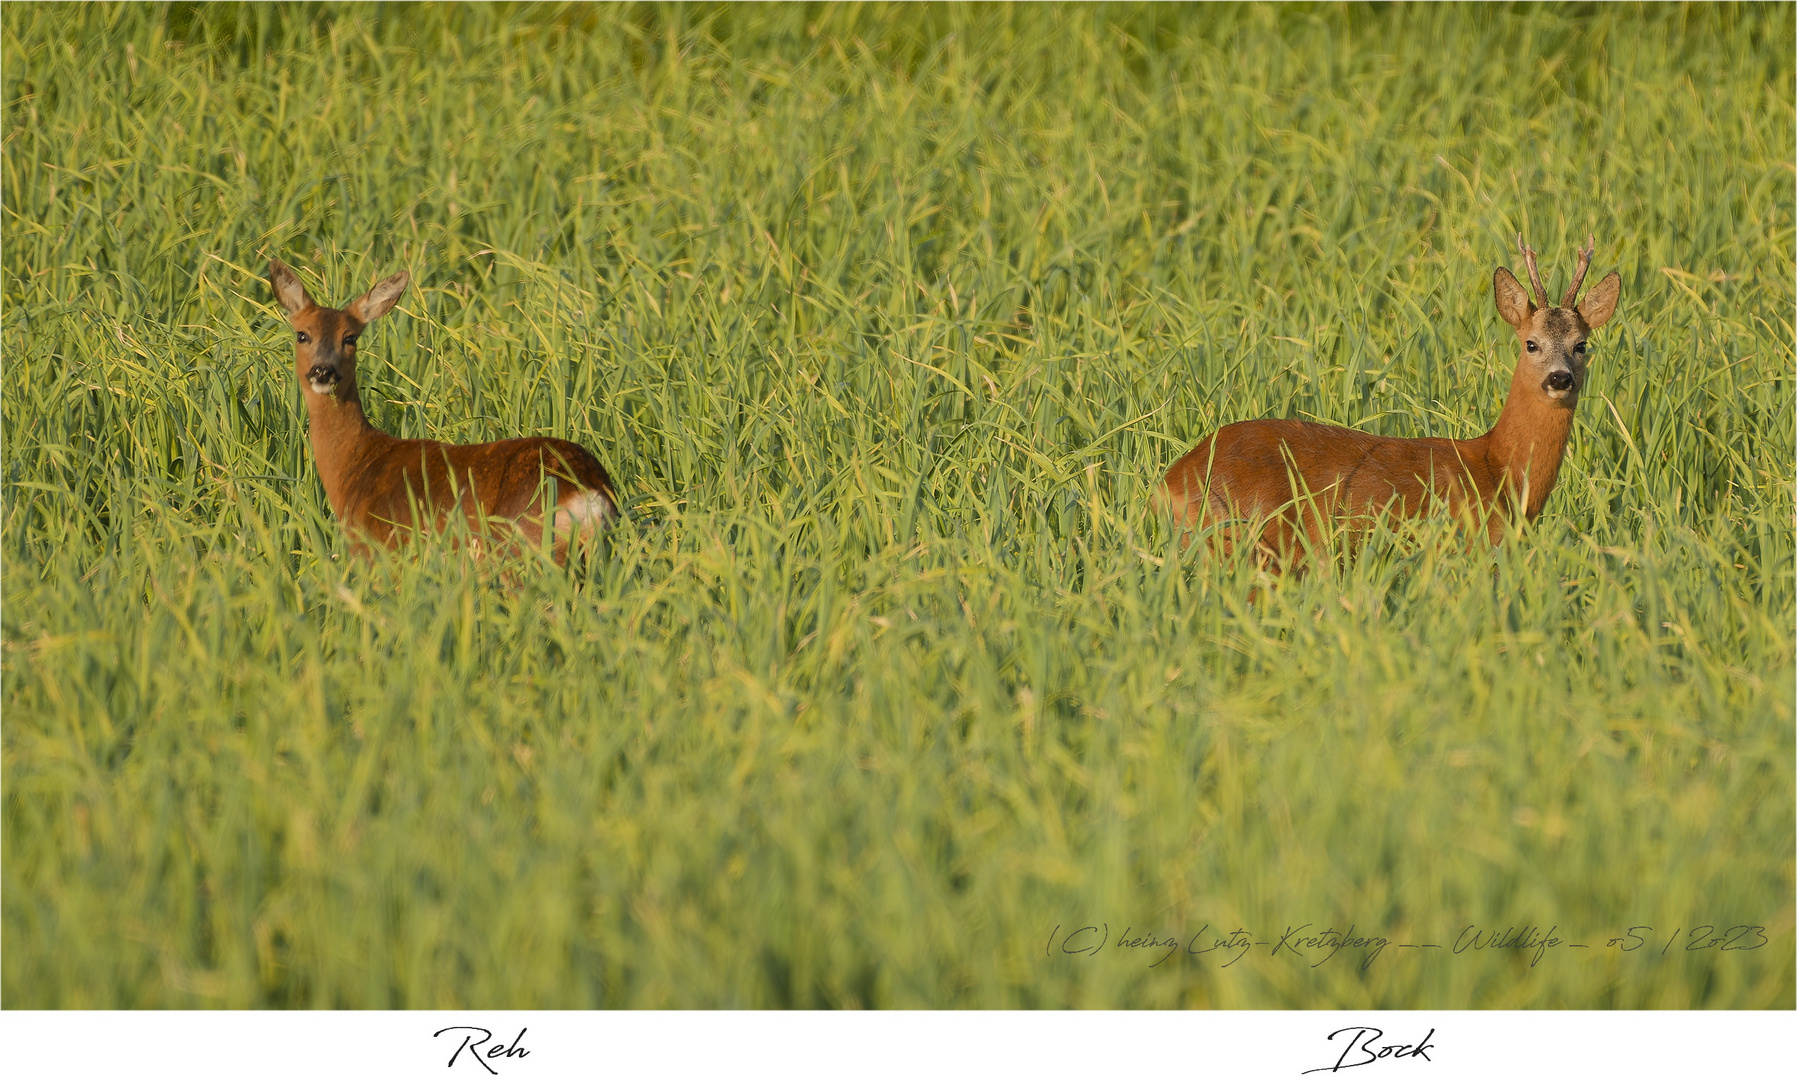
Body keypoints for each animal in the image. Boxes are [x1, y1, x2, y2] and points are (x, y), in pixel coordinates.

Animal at [265, 262, 618, 564]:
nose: (323, 371)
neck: (357, 463)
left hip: (521, 547)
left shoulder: (377, 551)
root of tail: (587, 490)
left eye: (349, 337)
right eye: (302, 334)